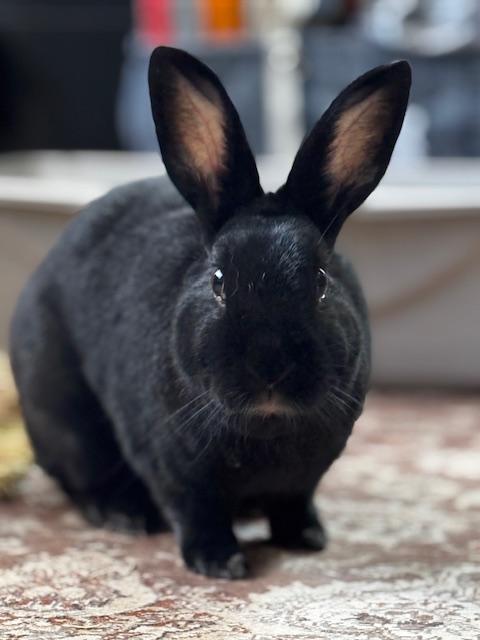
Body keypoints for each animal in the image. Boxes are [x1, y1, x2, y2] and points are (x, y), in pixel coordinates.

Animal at [9, 47, 411, 579]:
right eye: (219, 281)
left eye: (322, 281)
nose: (269, 368)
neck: (267, 427)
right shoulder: (175, 468)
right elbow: (197, 512)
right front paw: (221, 564)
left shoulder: (304, 478)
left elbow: (294, 503)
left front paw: (308, 539)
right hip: (65, 423)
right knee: (81, 480)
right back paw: (127, 516)